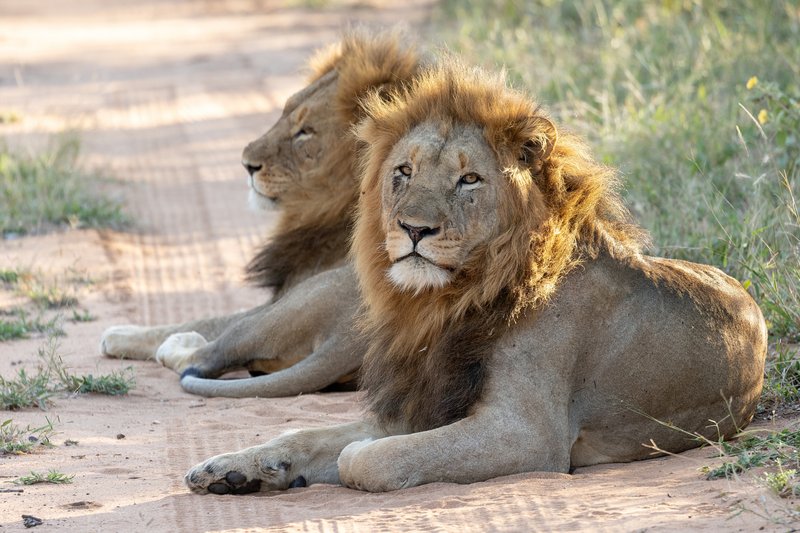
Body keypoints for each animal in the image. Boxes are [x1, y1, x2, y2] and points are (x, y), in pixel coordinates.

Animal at [100, 29, 422, 396]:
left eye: (305, 132)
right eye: (282, 113)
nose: (246, 164)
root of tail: (348, 341)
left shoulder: (279, 296)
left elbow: (208, 318)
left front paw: (121, 334)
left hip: (287, 305)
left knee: (205, 355)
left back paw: (178, 344)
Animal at [183, 59, 767, 494]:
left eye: (469, 180)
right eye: (403, 172)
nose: (413, 229)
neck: (449, 301)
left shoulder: (526, 433)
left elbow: (365, 458)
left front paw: (353, 454)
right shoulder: (423, 402)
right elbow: (305, 434)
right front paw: (235, 468)